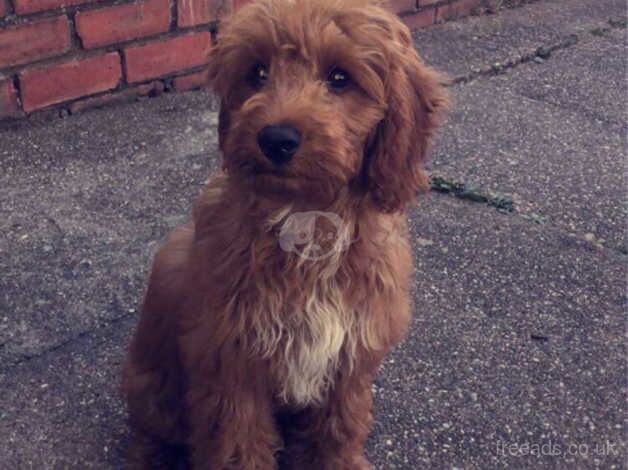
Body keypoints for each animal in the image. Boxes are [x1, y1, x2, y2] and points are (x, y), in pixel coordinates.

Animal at [121, 1, 446, 468]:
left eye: (340, 78)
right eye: (257, 72)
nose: (275, 139)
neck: (306, 220)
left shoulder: (349, 359)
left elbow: (339, 429)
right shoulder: (232, 366)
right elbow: (239, 447)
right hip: (154, 389)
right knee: (150, 435)